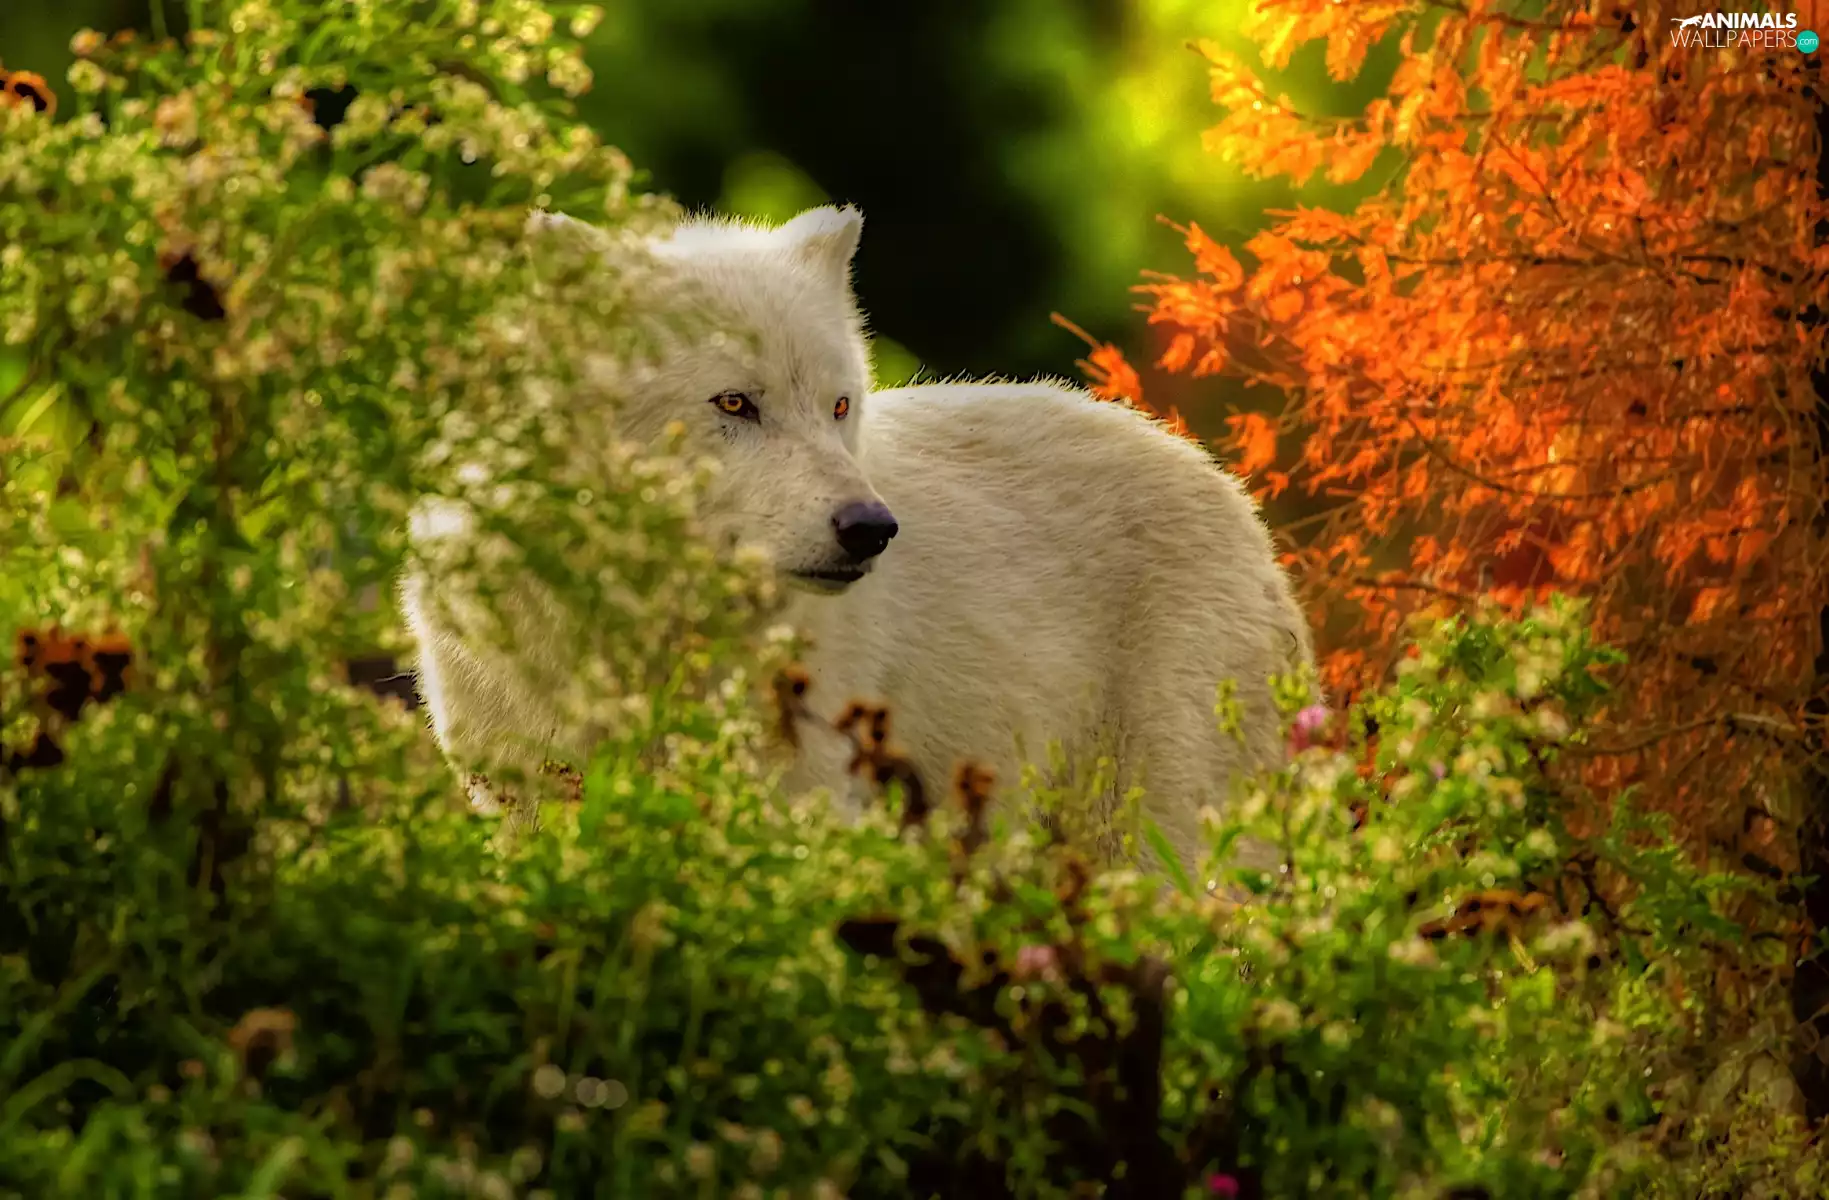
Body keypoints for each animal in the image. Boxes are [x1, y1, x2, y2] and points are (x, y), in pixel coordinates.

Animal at [401, 204, 1314, 876]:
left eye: (839, 406)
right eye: (734, 403)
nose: (873, 530)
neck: (633, 636)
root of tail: (1240, 506)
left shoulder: (790, 808)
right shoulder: (525, 808)